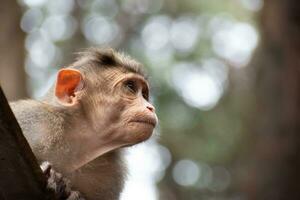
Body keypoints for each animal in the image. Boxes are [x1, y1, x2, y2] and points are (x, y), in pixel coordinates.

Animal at [9, 47, 157, 199]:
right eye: (130, 87)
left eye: (144, 94)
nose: (151, 108)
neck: (80, 141)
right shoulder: (35, 121)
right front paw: (54, 179)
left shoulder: (112, 174)